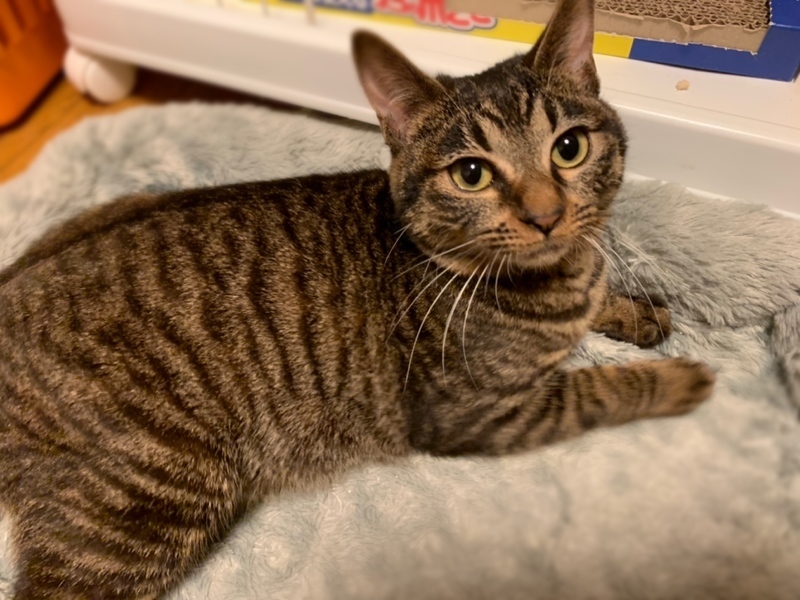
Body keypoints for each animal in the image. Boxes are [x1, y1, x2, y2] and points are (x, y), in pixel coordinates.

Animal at [0, 0, 715, 597]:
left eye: (569, 148)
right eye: (471, 173)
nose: (545, 215)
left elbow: (600, 301)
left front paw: (634, 309)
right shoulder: (476, 412)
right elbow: (598, 389)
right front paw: (679, 379)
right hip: (149, 500)